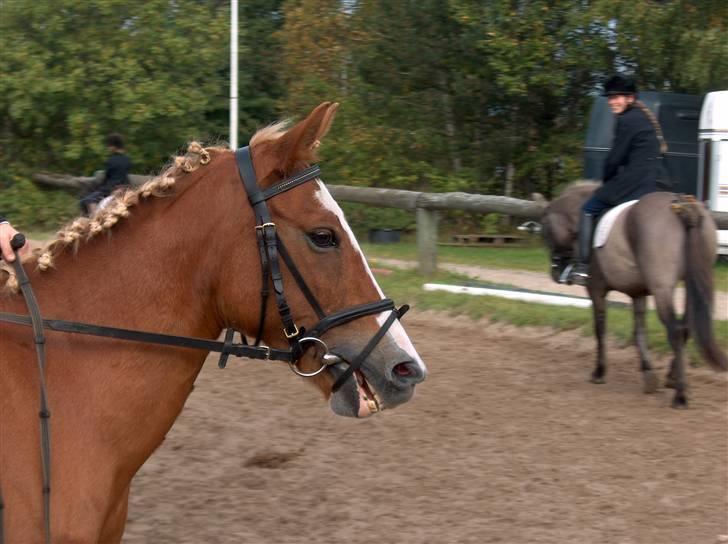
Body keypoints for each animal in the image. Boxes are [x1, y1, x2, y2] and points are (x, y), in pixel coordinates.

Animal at [541, 182, 727, 408]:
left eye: (545, 232)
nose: (556, 273)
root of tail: (683, 206)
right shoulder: (638, 293)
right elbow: (639, 332)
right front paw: (648, 372)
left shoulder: (596, 290)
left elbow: (600, 330)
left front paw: (599, 372)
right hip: (693, 282)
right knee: (686, 328)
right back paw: (673, 379)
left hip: (662, 287)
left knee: (675, 330)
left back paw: (680, 395)